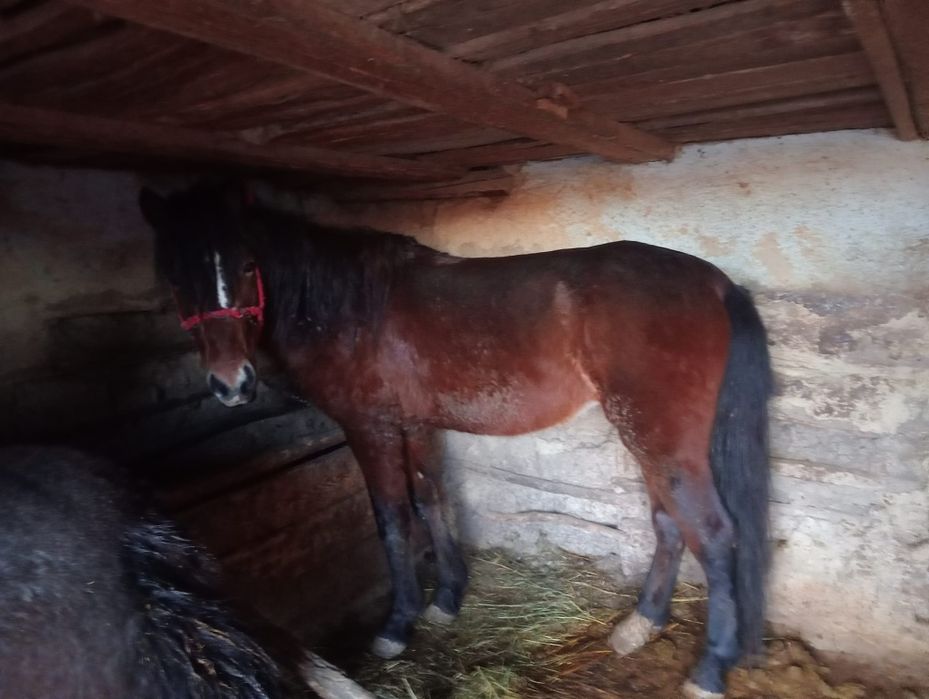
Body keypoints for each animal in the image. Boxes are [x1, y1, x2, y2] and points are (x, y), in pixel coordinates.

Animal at [139, 183, 772, 699]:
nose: (232, 385)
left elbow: (393, 520)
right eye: (173, 276)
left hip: (660, 439)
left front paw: (398, 626)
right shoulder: (416, 424)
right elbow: (430, 499)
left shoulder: (369, 427)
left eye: (247, 265)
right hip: (652, 440)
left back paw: (708, 670)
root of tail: (713, 283)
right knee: (670, 526)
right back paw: (641, 625)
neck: (352, 309)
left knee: (714, 535)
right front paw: (447, 599)